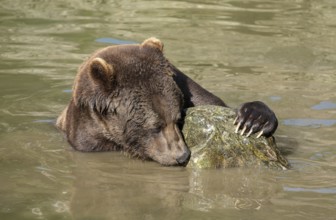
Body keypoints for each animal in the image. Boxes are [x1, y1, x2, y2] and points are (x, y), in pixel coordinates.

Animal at [57, 37, 278, 165]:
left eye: (179, 118)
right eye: (154, 126)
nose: (182, 156)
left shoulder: (186, 88)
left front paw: (253, 119)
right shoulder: (88, 138)